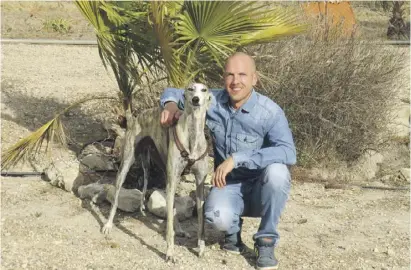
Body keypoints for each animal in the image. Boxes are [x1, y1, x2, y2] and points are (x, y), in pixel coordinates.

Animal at [101, 83, 212, 262]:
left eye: (204, 90)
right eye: (190, 89)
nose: (196, 99)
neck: (192, 136)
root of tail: (135, 117)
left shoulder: (200, 182)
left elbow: (201, 221)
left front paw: (201, 248)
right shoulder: (173, 179)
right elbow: (168, 227)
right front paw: (170, 252)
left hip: (164, 171)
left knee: (172, 206)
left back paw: (180, 229)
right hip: (127, 164)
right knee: (116, 198)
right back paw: (108, 225)